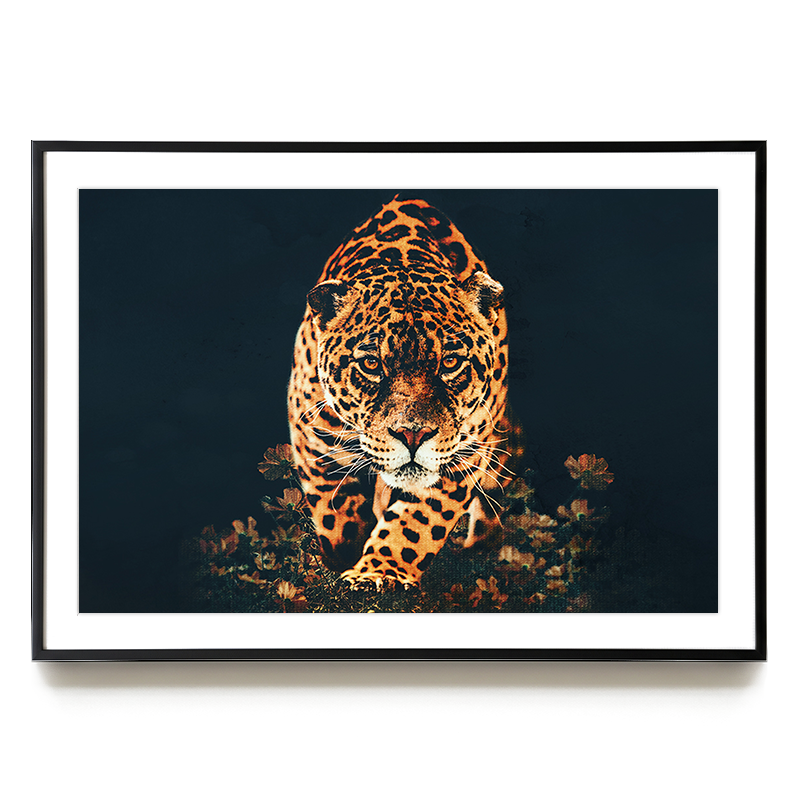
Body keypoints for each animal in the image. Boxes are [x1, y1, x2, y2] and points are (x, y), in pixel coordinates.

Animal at [287, 194, 524, 590]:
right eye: (371, 364)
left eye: (450, 362)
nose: (413, 435)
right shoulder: (313, 435)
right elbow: (335, 510)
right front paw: (345, 554)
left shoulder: (462, 453)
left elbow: (417, 522)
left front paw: (379, 571)